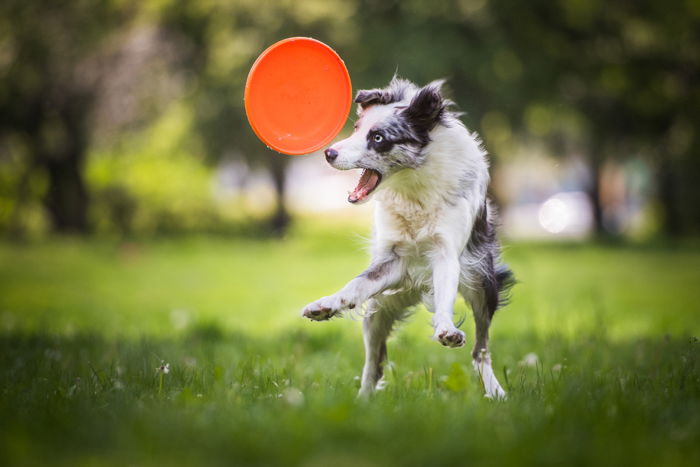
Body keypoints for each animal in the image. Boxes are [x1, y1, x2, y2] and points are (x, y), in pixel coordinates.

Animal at [300, 77, 516, 398]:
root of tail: (416, 288)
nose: (329, 153)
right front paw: (327, 303)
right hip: (379, 308)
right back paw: (363, 399)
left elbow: (446, 298)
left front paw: (446, 330)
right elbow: (355, 285)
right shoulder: (393, 260)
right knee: (373, 362)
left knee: (481, 349)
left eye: (378, 137)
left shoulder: (446, 253)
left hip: (482, 283)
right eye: (357, 129)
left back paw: (495, 391)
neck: (412, 184)